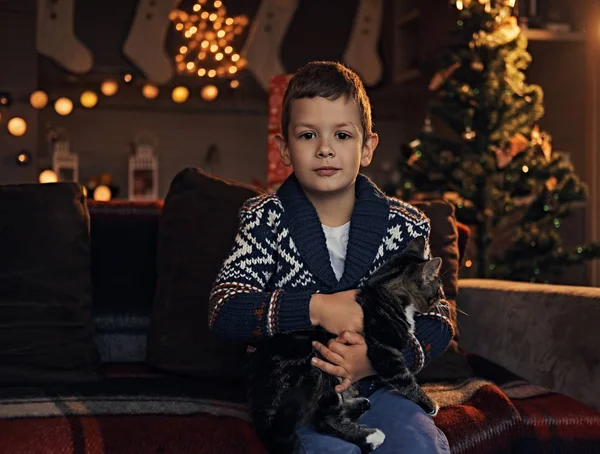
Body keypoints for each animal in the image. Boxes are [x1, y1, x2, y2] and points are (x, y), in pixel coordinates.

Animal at [247, 236, 446, 452]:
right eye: (438, 289)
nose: (443, 299)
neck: (384, 292)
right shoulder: (384, 352)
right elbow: (405, 380)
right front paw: (430, 404)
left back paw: (360, 405)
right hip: (315, 372)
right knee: (323, 421)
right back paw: (371, 436)